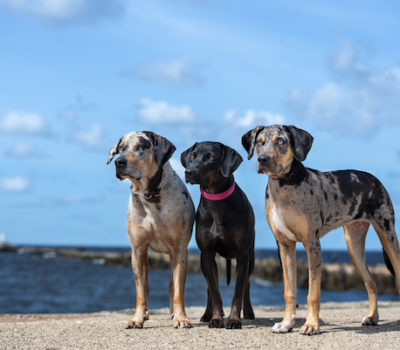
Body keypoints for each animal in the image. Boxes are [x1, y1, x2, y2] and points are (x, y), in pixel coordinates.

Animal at [106, 131, 194, 328]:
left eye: (141, 146)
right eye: (120, 148)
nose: (119, 162)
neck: (150, 196)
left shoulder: (179, 250)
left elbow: (178, 288)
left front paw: (181, 318)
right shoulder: (137, 249)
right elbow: (140, 289)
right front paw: (137, 318)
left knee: (171, 284)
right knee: (145, 286)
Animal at [180, 142, 255, 328]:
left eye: (210, 157)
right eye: (192, 156)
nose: (188, 172)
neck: (216, 201)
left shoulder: (243, 255)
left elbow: (238, 291)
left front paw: (234, 319)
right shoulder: (207, 253)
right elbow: (214, 291)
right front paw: (215, 318)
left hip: (251, 255)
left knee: (247, 283)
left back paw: (248, 311)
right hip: (203, 261)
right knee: (209, 284)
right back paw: (208, 314)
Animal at [241, 124, 400, 334]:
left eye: (281, 141)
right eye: (259, 142)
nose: (263, 159)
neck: (284, 186)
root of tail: (375, 180)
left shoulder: (312, 244)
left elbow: (313, 293)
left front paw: (311, 325)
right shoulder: (285, 245)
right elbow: (289, 292)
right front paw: (286, 323)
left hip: (388, 234)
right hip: (354, 244)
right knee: (371, 283)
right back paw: (372, 318)